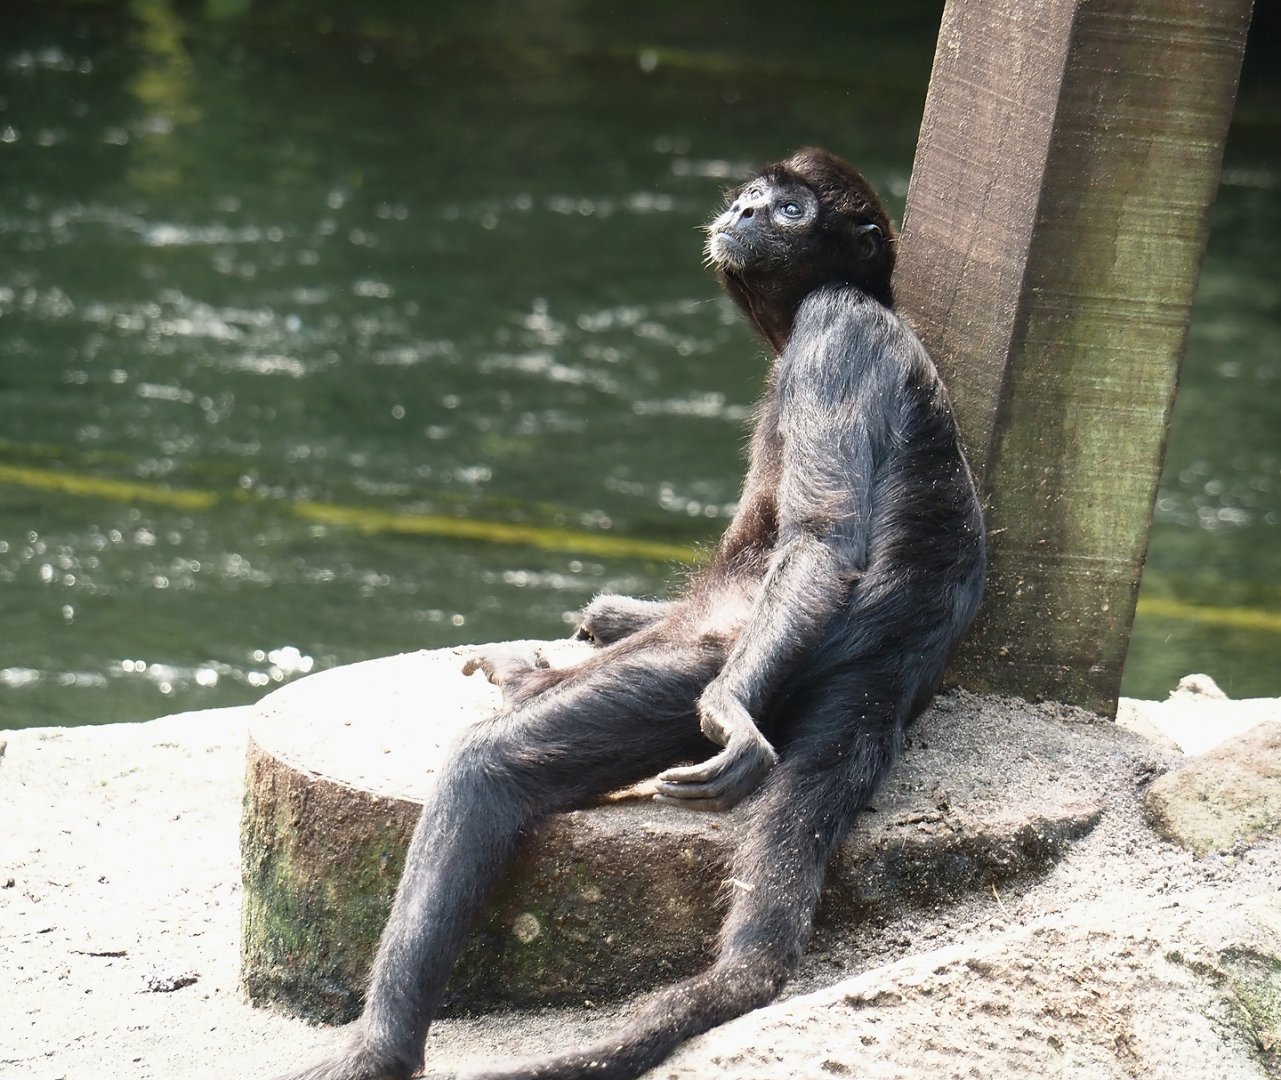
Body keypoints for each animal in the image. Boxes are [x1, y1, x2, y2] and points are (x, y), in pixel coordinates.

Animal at [277, 147, 985, 1080]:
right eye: (749, 198)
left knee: (490, 766)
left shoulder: (834, 329)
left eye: (789, 209)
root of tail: (888, 669)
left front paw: (726, 709)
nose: (747, 211)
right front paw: (603, 616)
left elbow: (822, 539)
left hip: (704, 655)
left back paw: (377, 1050)